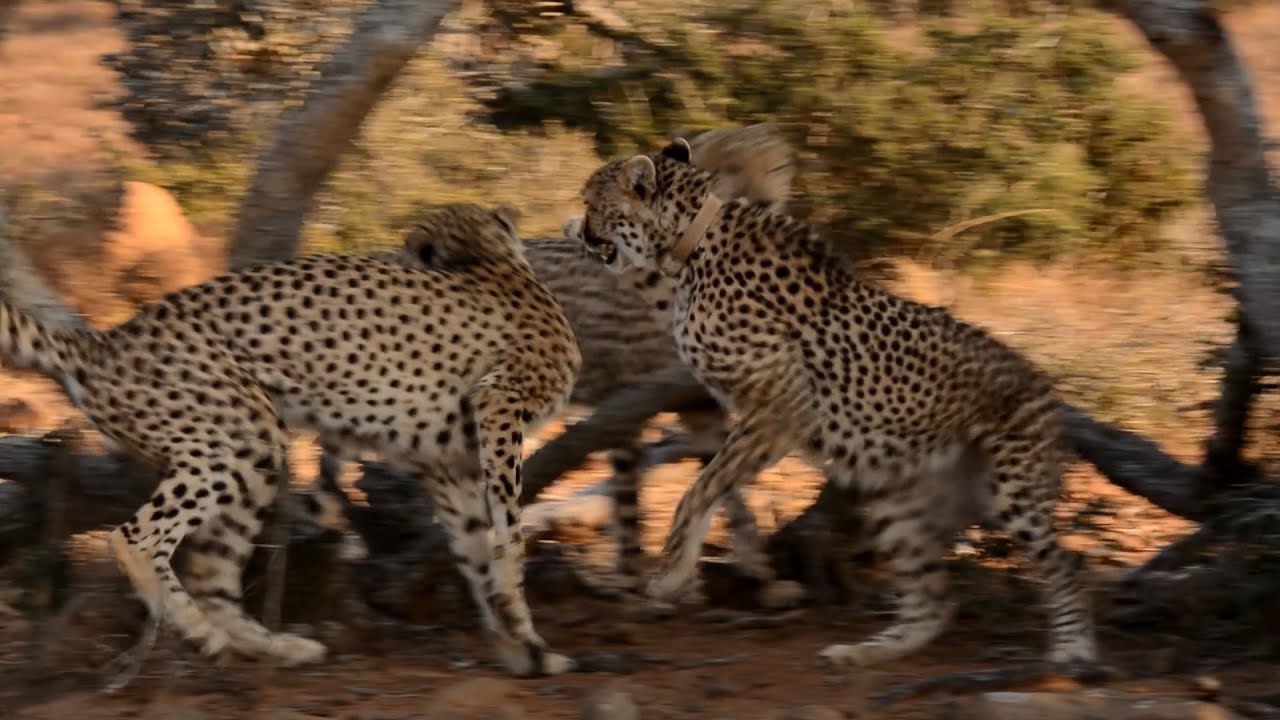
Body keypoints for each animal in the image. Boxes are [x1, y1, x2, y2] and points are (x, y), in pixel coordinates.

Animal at [0, 204, 582, 677]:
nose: (393, 255)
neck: (488, 258)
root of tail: (104, 341)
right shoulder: (499, 405)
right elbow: (510, 534)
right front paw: (522, 632)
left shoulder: (449, 469)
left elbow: (478, 551)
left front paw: (522, 648)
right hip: (237, 435)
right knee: (135, 537)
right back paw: (201, 632)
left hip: (253, 457)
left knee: (211, 575)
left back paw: (270, 647)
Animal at [306, 124, 808, 608]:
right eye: (729, 172)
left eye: (777, 167)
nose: (765, 201)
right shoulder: (622, 402)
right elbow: (631, 502)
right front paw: (634, 581)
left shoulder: (697, 406)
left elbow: (727, 488)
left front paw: (760, 577)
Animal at [573, 137, 1100, 668]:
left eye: (593, 202)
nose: (581, 231)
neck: (689, 243)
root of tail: (1046, 383)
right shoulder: (739, 412)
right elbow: (715, 491)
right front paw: (686, 573)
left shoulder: (781, 409)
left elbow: (698, 492)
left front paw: (670, 574)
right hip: (894, 494)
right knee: (934, 598)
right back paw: (866, 652)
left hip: (1011, 490)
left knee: (1066, 563)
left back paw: (1074, 649)